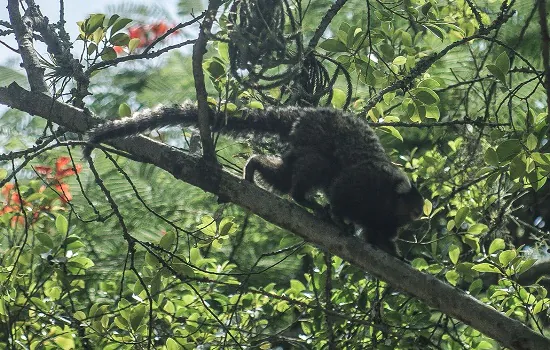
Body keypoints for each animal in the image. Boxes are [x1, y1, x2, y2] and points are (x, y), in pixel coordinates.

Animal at [86, 104, 424, 254]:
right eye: (415, 205)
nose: (421, 214)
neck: (387, 201)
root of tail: (304, 115)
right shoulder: (364, 183)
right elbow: (340, 191)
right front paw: (340, 219)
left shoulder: (386, 221)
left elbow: (379, 237)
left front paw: (396, 256)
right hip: (314, 139)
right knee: (317, 168)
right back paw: (305, 200)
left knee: (285, 176)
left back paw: (255, 166)